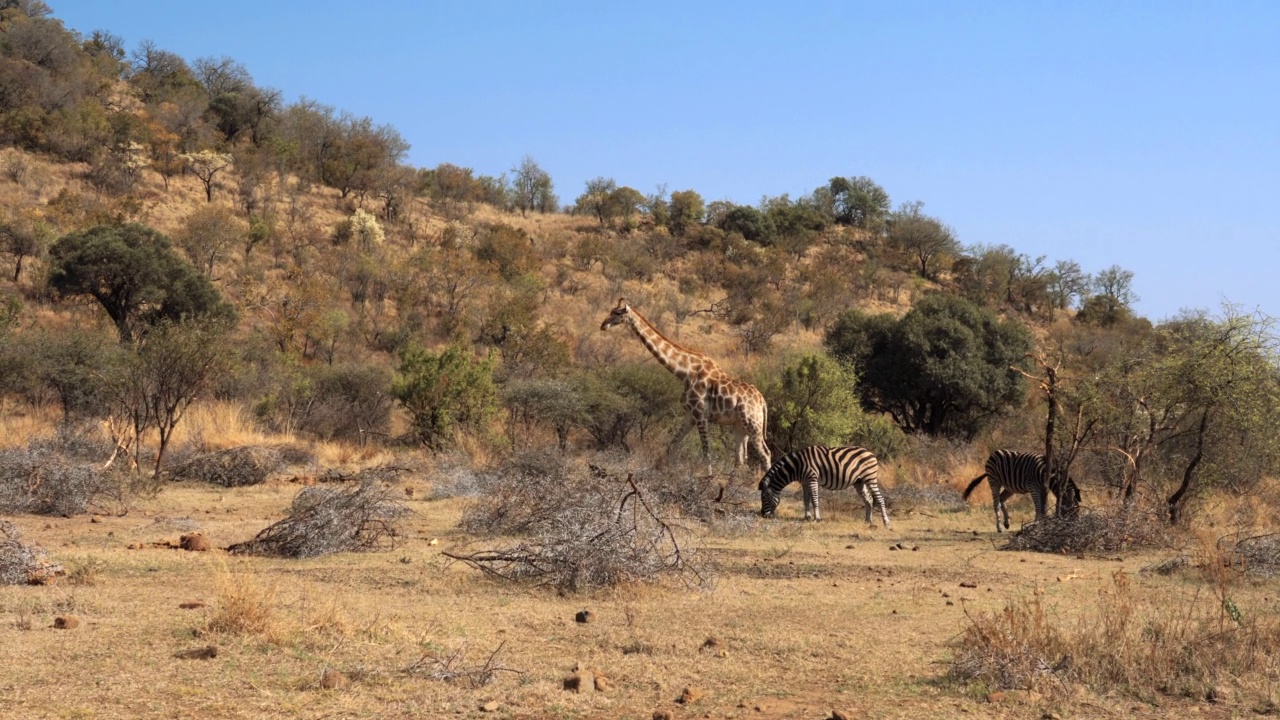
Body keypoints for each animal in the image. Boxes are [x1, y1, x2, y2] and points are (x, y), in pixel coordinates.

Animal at [599, 295, 768, 471]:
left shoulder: (700, 414)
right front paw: (659, 468)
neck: (685, 372)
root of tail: (762, 402)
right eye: (612, 310)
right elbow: (672, 444)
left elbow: (706, 453)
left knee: (765, 454)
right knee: (741, 459)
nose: (603, 325)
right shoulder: (690, 415)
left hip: (753, 425)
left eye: (617, 313)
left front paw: (707, 476)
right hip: (740, 426)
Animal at [757, 443, 890, 520]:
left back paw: (886, 522)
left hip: (870, 478)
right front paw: (807, 516)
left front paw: (817, 518)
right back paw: (868, 521)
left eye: (763, 498)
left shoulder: (812, 479)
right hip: (859, 481)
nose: (762, 514)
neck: (798, 465)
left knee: (879, 498)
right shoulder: (805, 482)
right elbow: (806, 500)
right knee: (869, 499)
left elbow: (814, 499)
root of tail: (870, 453)